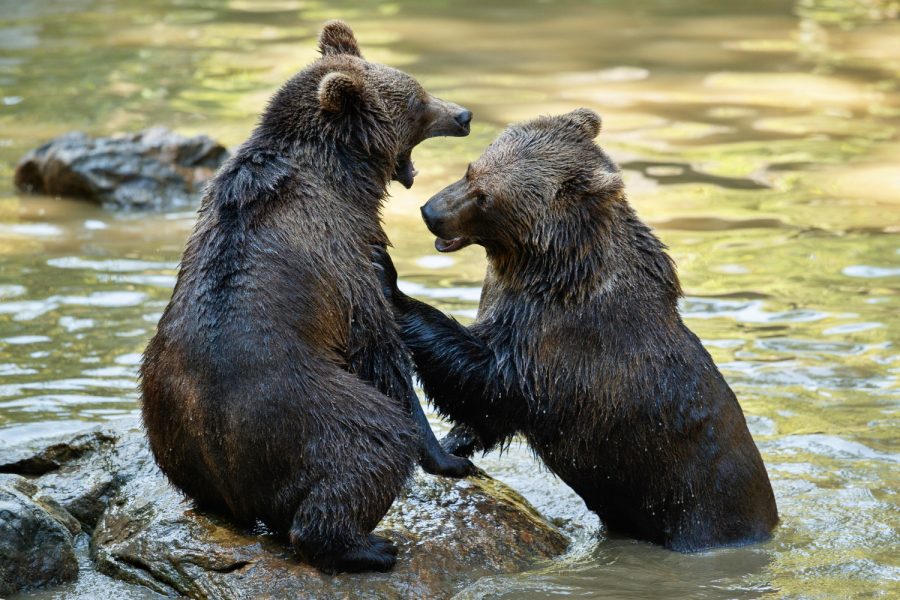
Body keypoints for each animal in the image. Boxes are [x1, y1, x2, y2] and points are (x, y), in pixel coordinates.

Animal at [139, 21, 478, 576]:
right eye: (417, 100)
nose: (464, 115)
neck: (343, 174)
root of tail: (231, 477)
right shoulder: (342, 252)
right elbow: (379, 348)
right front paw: (450, 457)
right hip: (307, 408)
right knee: (371, 442)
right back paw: (367, 545)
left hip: (165, 416)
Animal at [374, 109, 780, 552]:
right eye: (470, 169)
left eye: (485, 196)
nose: (430, 212)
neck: (548, 269)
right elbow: (486, 412)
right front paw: (454, 444)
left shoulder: (561, 339)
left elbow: (490, 379)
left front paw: (391, 282)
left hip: (700, 504)